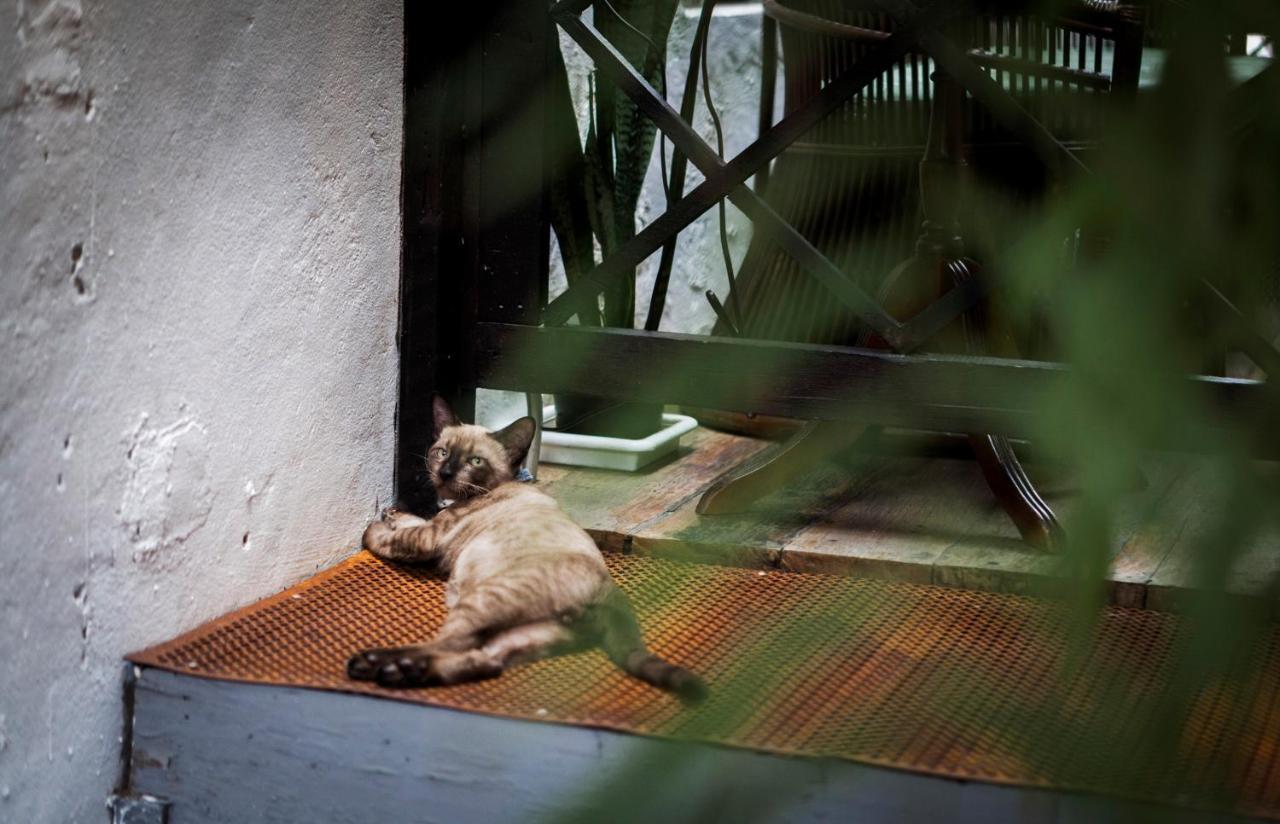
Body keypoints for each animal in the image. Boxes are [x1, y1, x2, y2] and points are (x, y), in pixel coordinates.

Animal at [350, 394, 706, 701]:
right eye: (441, 452)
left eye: (475, 461)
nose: (446, 473)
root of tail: (609, 592)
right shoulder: (434, 524)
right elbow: (411, 518)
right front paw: (393, 512)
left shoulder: (431, 537)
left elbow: (386, 538)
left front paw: (375, 525)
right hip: (530, 635)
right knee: (485, 662)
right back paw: (401, 672)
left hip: (482, 602)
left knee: (451, 644)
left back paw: (374, 663)